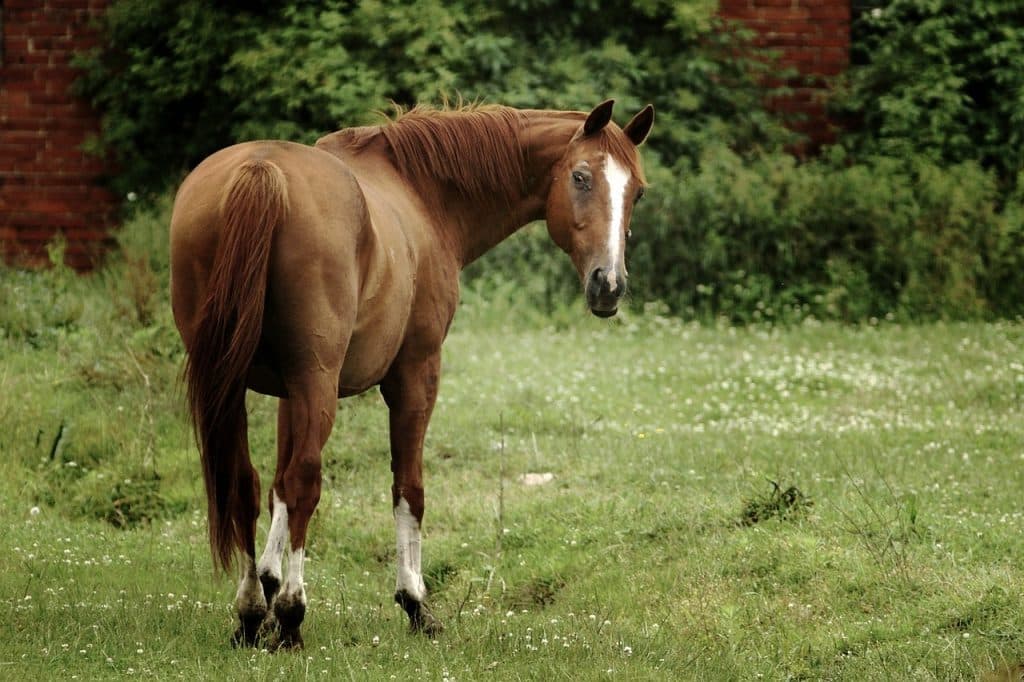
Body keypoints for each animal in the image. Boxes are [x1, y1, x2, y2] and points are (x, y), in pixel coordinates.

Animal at [169, 99, 654, 649]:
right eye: (580, 177)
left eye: (637, 191)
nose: (608, 285)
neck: (424, 195)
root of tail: (261, 170)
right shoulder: (414, 373)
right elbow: (408, 489)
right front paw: (414, 603)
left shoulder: (288, 392)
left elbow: (275, 488)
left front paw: (269, 588)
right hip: (316, 382)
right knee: (305, 481)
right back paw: (292, 613)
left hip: (236, 386)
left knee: (246, 483)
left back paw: (252, 613)